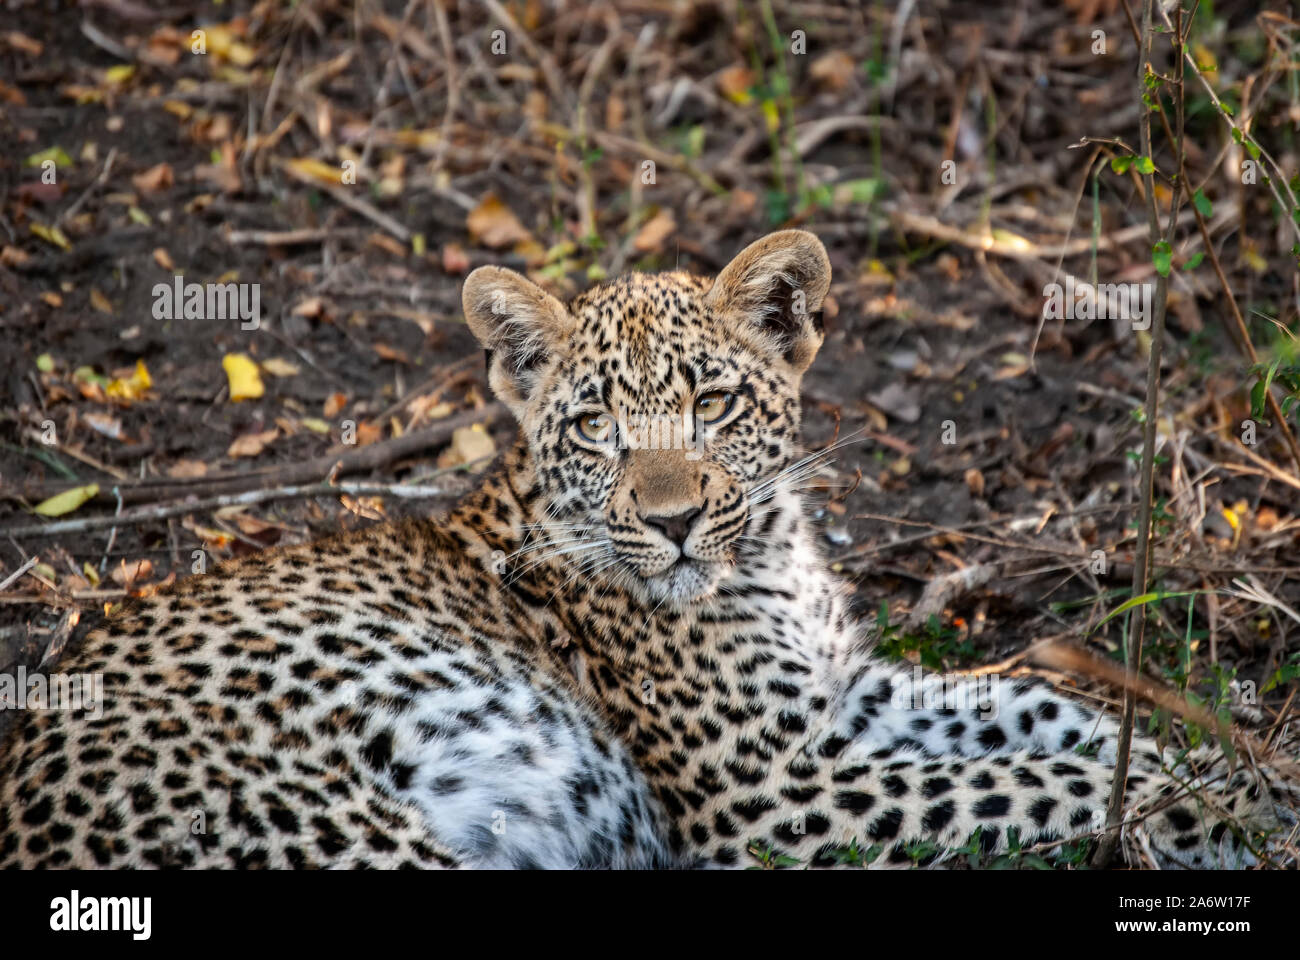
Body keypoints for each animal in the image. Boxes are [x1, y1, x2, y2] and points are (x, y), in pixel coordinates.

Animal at [0, 227, 1294, 863]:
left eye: (712, 403)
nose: (670, 520)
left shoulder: (840, 700)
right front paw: (1225, 815)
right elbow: (1031, 780)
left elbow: (1032, 710)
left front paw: (1228, 764)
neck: (770, 554)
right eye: (597, 427)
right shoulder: (764, 790)